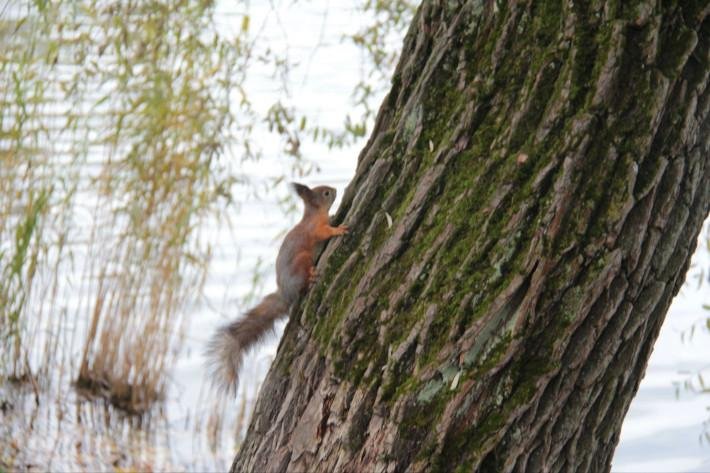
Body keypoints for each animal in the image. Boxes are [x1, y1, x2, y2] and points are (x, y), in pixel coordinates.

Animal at [207, 183, 350, 392]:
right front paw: (338, 229)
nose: (336, 190)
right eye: (326, 193)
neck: (313, 214)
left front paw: (333, 218)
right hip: (302, 260)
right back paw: (311, 276)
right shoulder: (315, 230)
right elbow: (325, 233)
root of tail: (286, 293)